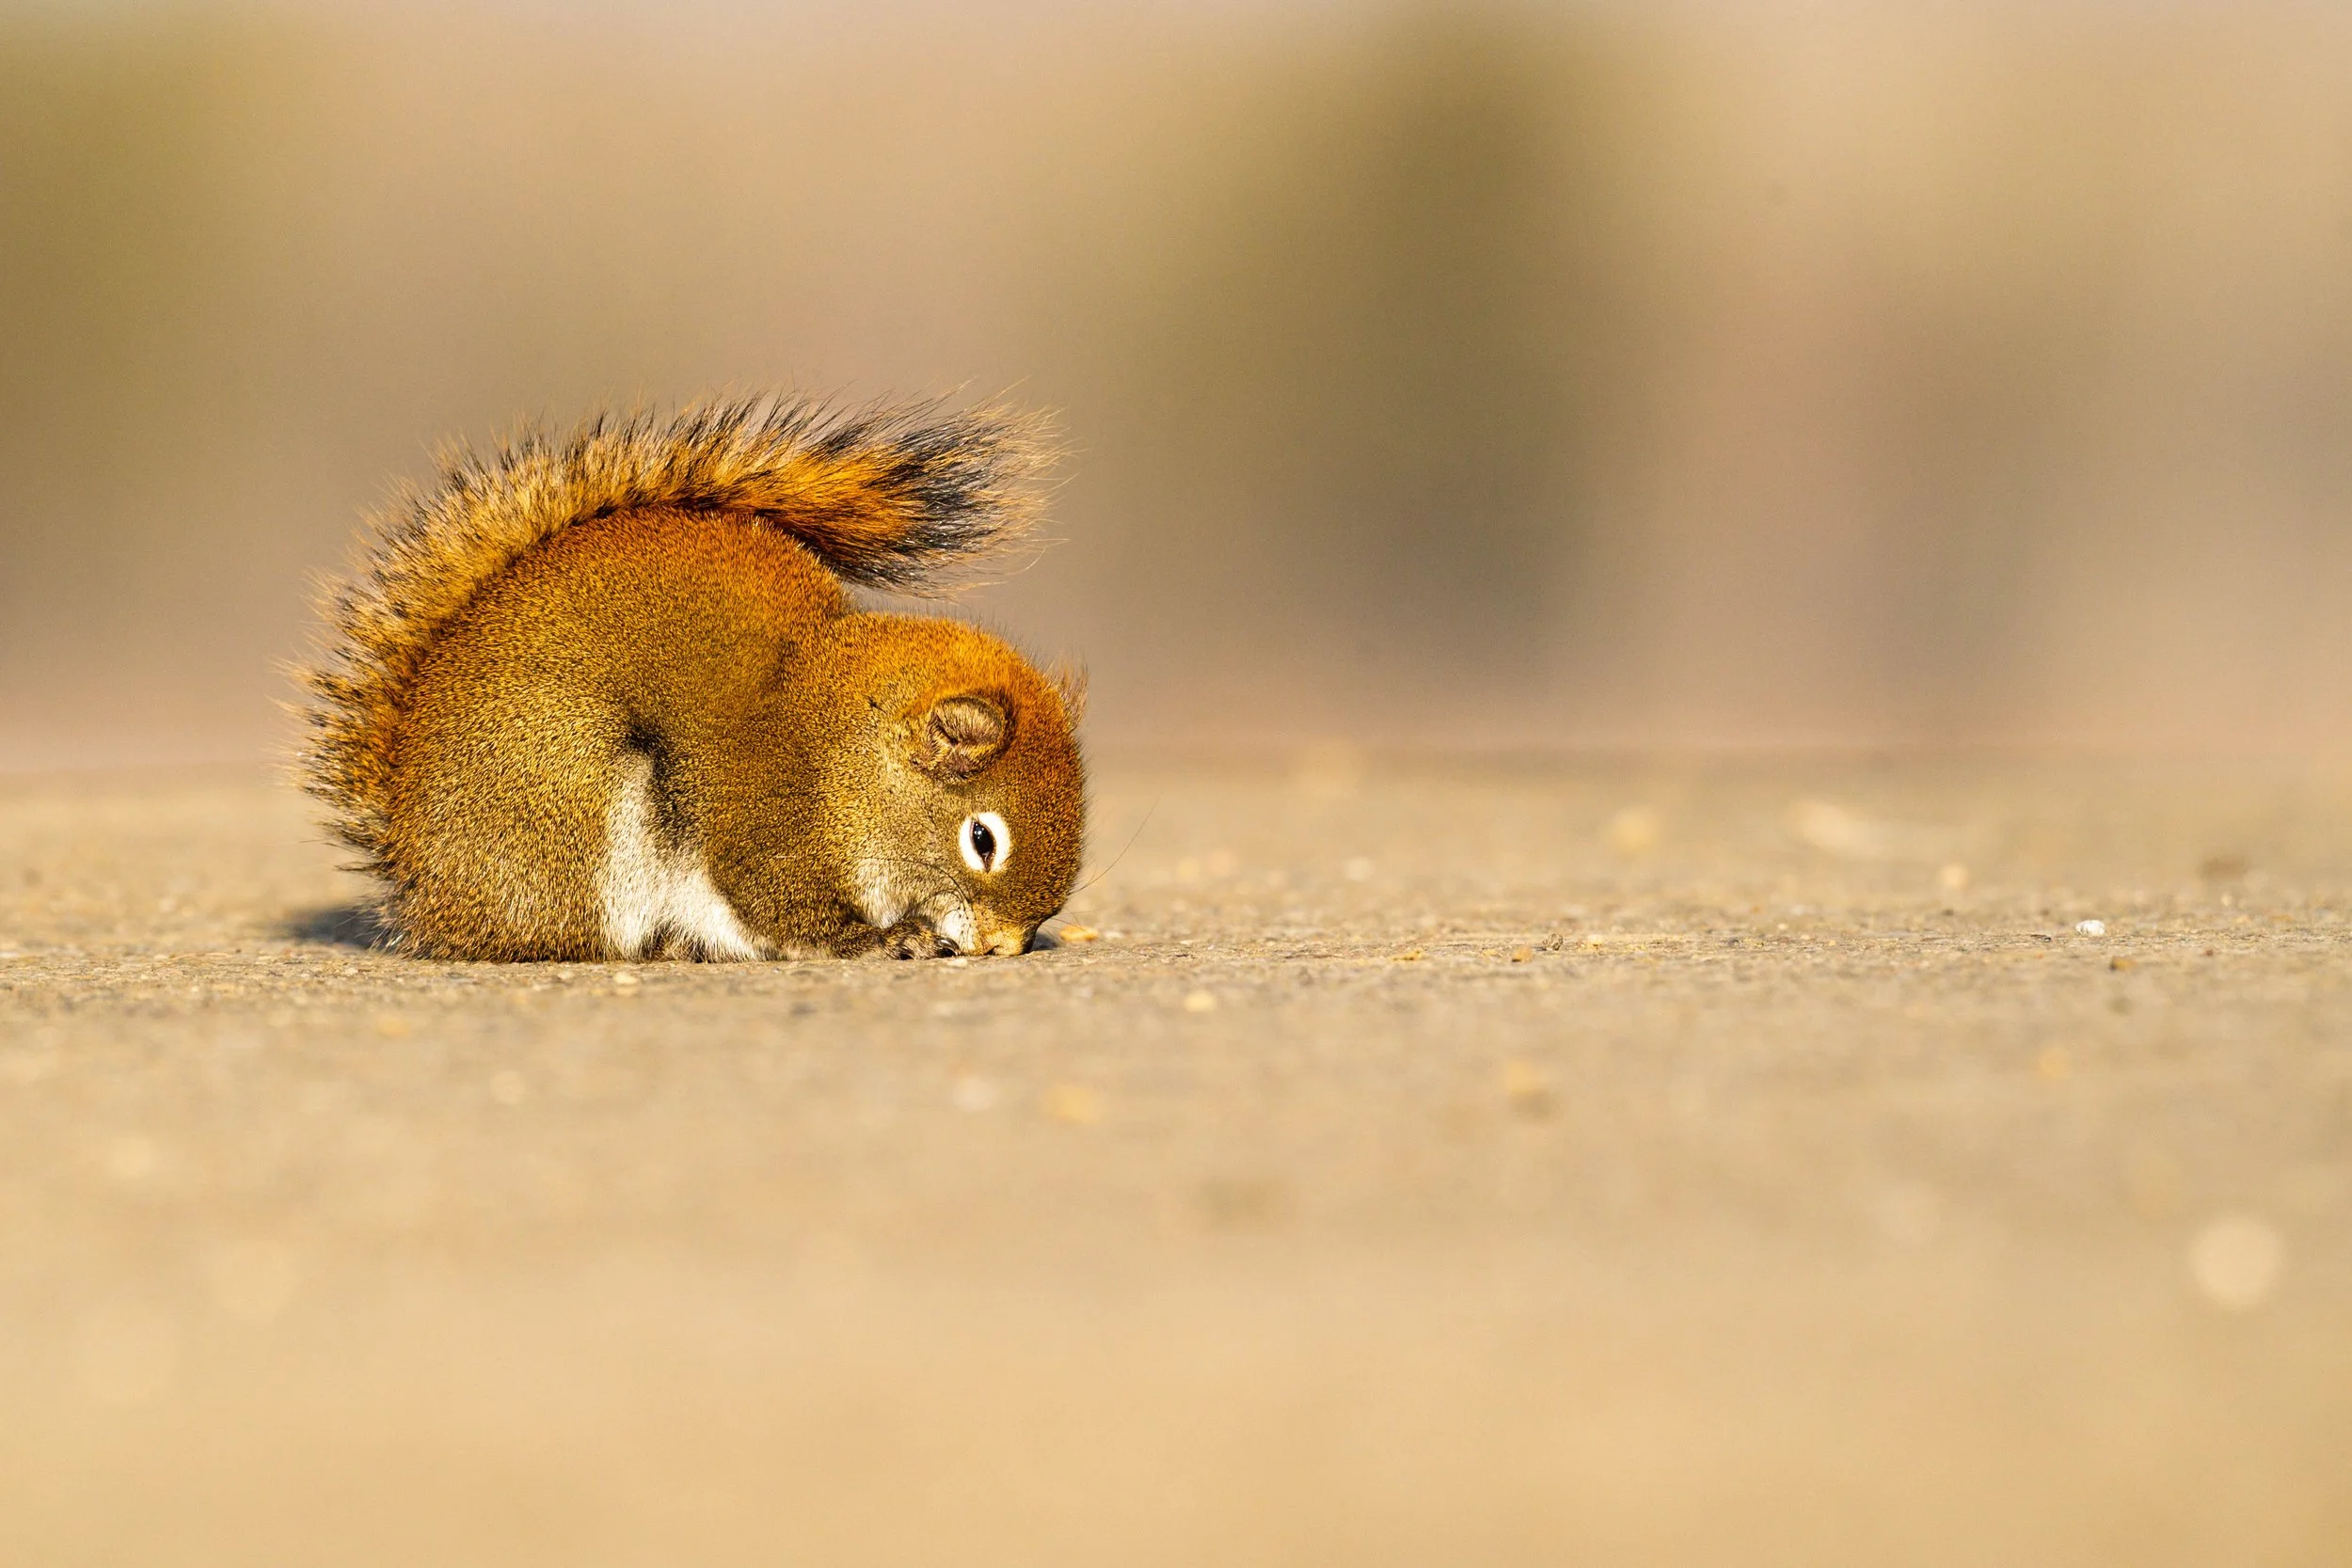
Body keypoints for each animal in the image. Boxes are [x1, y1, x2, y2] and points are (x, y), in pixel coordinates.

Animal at [298, 395, 1086, 963]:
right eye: (982, 839)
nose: (1005, 946)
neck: (845, 748)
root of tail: (420, 877)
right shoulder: (765, 825)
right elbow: (784, 912)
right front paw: (885, 939)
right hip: (577, 805)